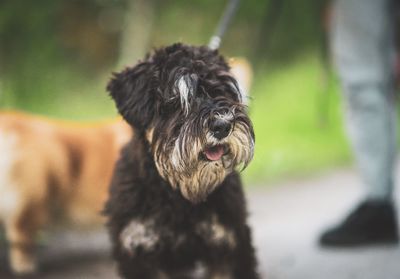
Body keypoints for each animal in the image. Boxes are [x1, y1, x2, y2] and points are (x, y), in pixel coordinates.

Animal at [104, 43, 258, 279]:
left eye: (222, 91)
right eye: (177, 100)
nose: (222, 126)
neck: (177, 195)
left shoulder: (229, 243)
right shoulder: (138, 252)